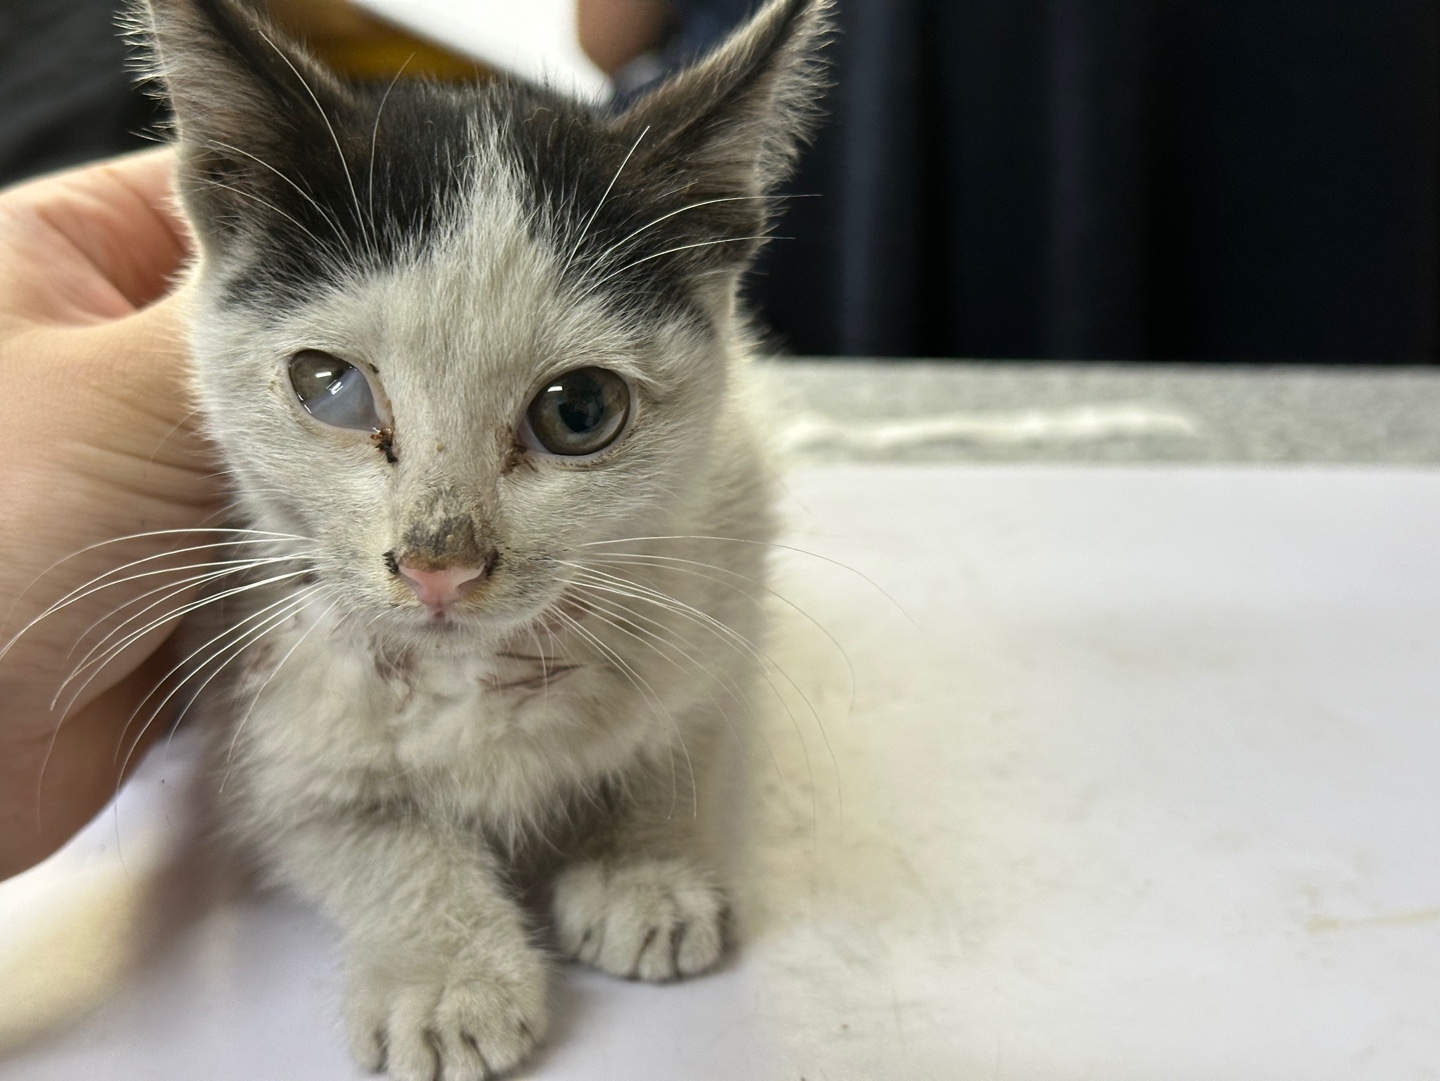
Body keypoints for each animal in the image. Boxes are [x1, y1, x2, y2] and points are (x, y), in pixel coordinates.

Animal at [136, 0, 835, 1076]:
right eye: (328, 386)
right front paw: (446, 977)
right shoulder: (256, 707)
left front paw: (641, 869)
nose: (439, 564)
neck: (473, 667)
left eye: (581, 411)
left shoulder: (723, 562)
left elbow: (675, 735)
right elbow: (365, 832)